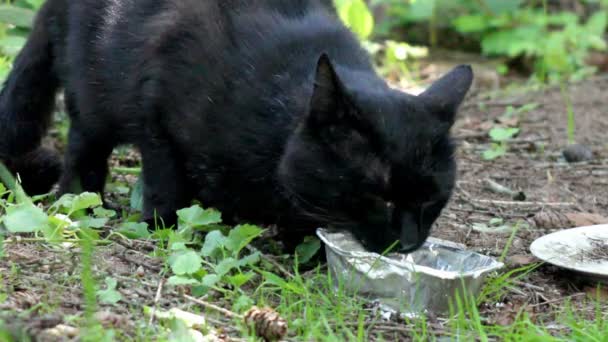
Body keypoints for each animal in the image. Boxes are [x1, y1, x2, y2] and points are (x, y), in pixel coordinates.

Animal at [0, 0, 472, 251]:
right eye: (381, 198)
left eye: (433, 201)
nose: (409, 242)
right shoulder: (157, 111)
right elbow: (166, 181)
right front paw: (164, 227)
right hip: (94, 92)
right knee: (84, 147)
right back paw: (84, 199)